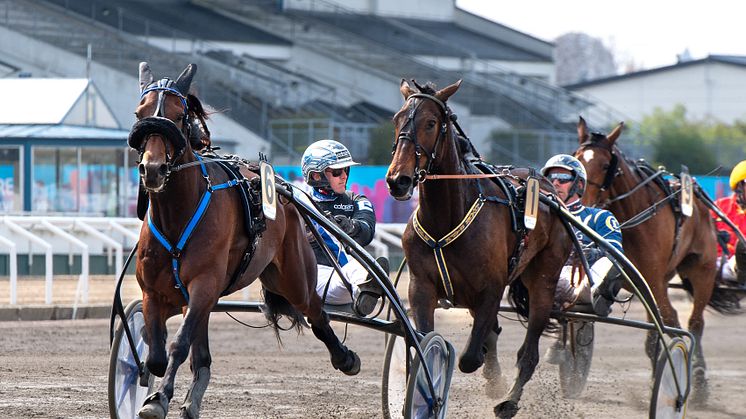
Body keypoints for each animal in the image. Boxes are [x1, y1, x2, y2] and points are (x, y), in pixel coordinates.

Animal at [129, 63, 358, 419]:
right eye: (140, 114)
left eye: (179, 115)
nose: (152, 169)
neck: (177, 218)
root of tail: (284, 192)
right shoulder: (154, 292)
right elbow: (155, 355)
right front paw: (155, 391)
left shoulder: (205, 284)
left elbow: (178, 344)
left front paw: (159, 397)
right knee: (201, 355)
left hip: (294, 278)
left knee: (317, 313)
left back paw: (345, 357)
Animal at [384, 79, 568, 419]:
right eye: (396, 119)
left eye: (431, 122)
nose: (397, 180)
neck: (446, 219)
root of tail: (547, 190)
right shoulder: (421, 286)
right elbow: (426, 338)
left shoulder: (491, 288)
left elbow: (469, 358)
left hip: (544, 278)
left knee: (529, 349)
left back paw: (508, 400)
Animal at [568, 116, 740, 406]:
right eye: (577, 157)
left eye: (604, 165)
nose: (581, 198)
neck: (634, 215)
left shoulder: (653, 279)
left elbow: (667, 325)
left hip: (701, 271)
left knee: (693, 324)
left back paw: (698, 379)